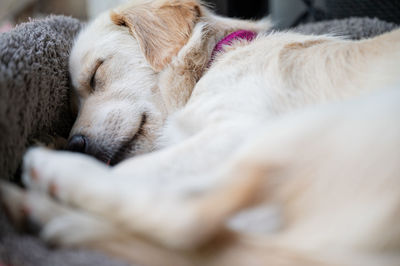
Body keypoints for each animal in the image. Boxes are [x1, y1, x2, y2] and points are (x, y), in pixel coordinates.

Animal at [0, 0, 400, 266]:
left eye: (96, 74)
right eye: (72, 107)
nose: (76, 145)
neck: (211, 64)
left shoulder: (240, 128)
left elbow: (136, 171)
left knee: (185, 217)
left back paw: (47, 180)